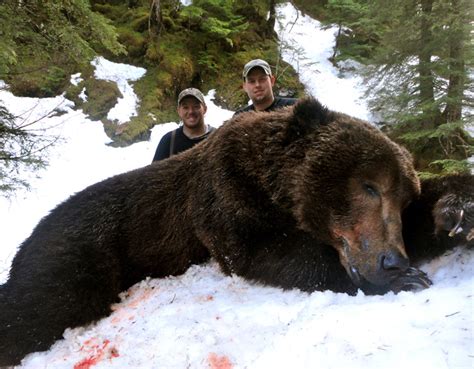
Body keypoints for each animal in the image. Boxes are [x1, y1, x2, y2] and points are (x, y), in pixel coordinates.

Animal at [0, 98, 474, 366]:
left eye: (403, 197)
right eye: (368, 185)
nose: (391, 260)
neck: (267, 178)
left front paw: (457, 211)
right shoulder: (222, 195)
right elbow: (264, 250)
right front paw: (402, 278)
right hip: (82, 247)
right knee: (41, 305)